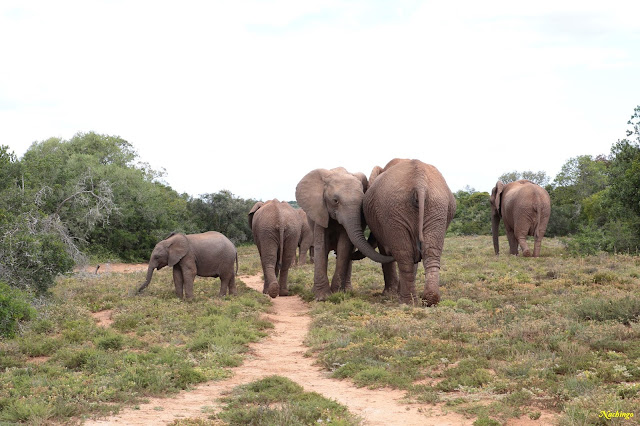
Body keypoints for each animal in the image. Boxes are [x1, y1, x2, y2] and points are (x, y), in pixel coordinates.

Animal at [296, 166, 396, 300]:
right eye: (335, 201)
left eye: (361, 203)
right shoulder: (319, 211)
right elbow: (321, 246)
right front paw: (322, 297)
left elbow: (344, 247)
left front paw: (336, 293)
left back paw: (347, 290)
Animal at [364, 158, 456, 304]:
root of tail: (420, 183)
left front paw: (389, 294)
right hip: (434, 207)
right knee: (428, 252)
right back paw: (429, 299)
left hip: (397, 209)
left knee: (406, 255)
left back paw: (408, 301)